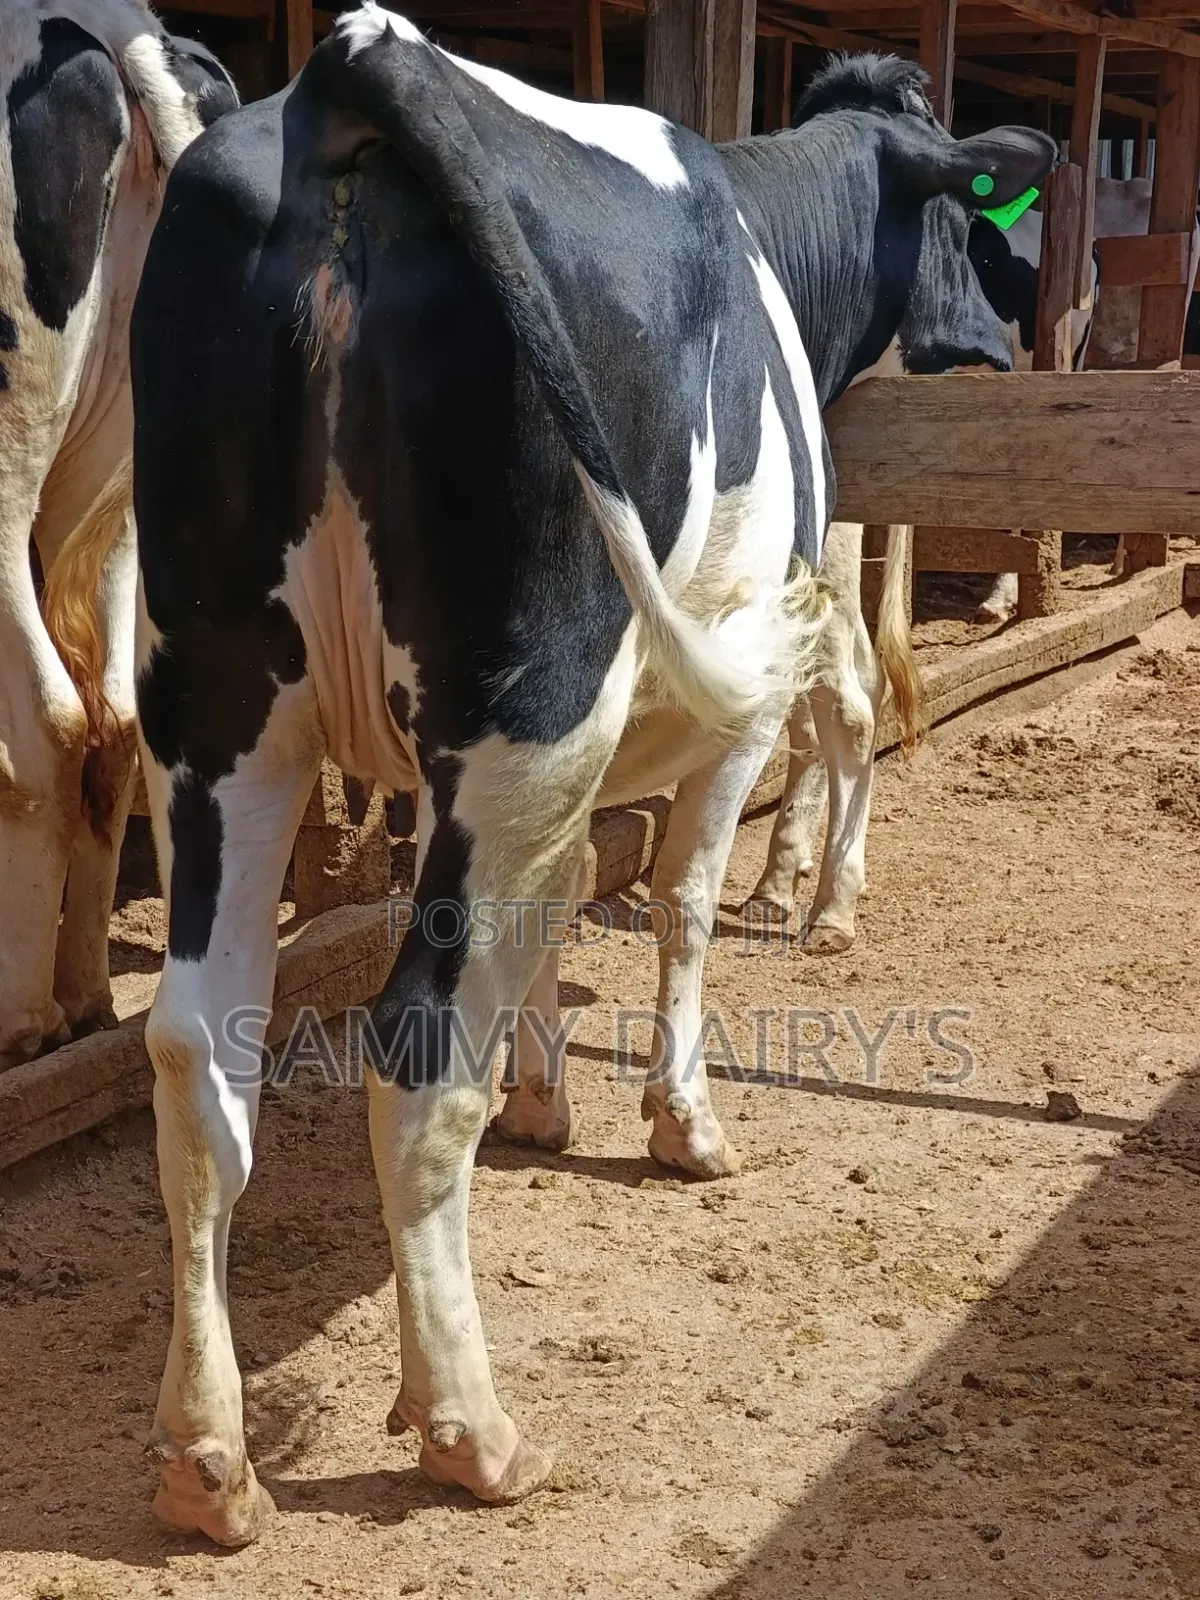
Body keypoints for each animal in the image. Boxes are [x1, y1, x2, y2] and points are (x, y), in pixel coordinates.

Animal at [129, 16, 1054, 1542]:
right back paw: (471, 1432)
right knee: (412, 1045)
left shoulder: (542, 783)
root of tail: (356, 62)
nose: (1003, 339)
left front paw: (543, 1101)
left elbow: (553, 918)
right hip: (528, 691)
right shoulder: (707, 730)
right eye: (961, 224)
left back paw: (206, 1460)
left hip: (220, 714)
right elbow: (679, 904)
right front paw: (681, 1123)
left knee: (198, 1047)